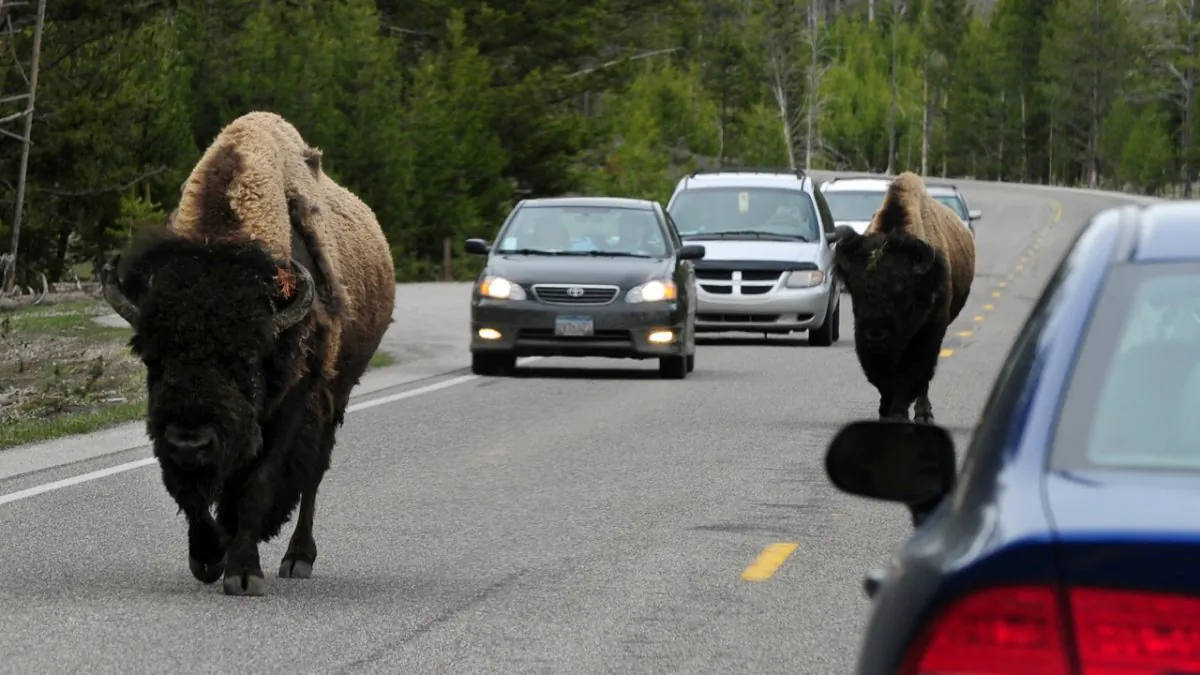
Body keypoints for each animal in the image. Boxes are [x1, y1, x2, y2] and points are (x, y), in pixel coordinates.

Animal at [100, 111, 396, 596]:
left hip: (338, 395)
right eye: (153, 359)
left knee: (313, 476)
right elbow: (193, 492)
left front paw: (243, 573)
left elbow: (257, 481)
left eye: (246, 361)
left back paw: (298, 559)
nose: (190, 441)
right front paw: (207, 558)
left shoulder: (293, 402)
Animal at [832, 172, 976, 424]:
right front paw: (885, 412)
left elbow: (913, 374)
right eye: (855, 291)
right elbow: (883, 379)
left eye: (902, 292)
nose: (876, 336)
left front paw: (899, 413)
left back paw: (923, 414)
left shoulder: (930, 330)